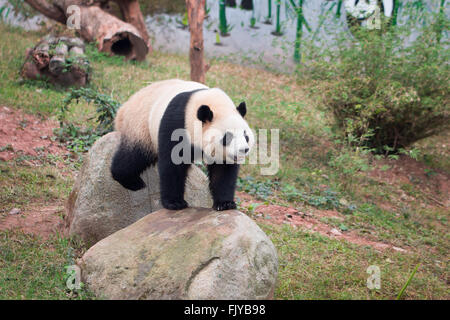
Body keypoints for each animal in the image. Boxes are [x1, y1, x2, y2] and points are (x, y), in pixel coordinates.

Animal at [110, 79, 253, 211]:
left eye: (245, 135)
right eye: (228, 137)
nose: (243, 150)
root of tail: (123, 109)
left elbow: (223, 171)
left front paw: (225, 203)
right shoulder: (177, 123)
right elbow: (172, 164)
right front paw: (174, 203)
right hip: (141, 125)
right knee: (134, 155)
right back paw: (132, 181)